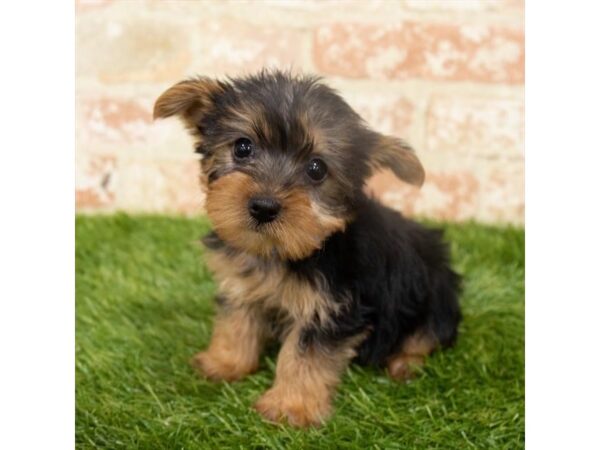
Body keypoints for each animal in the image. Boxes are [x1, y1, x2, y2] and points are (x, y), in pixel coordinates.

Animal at [152, 69, 462, 426]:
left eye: (317, 168)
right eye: (243, 147)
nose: (263, 207)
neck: (280, 251)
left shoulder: (331, 307)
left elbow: (305, 354)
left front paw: (290, 407)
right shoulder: (241, 283)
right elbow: (236, 322)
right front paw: (225, 363)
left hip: (435, 298)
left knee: (426, 336)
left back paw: (404, 364)